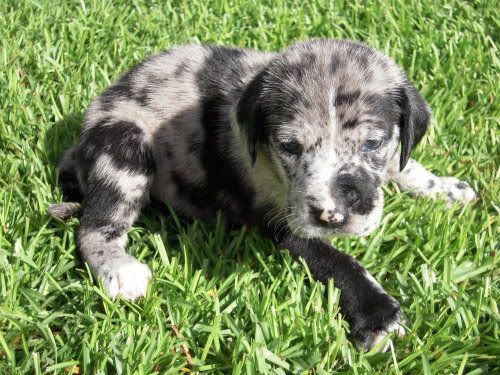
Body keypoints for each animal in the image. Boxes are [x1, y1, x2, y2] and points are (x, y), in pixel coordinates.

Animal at [50, 39, 476, 352]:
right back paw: (119, 269)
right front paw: (378, 316)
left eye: (373, 142)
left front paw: (445, 188)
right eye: (289, 146)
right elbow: (337, 260)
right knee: (94, 227)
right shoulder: (283, 221)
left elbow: (405, 167)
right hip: (125, 146)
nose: (332, 215)